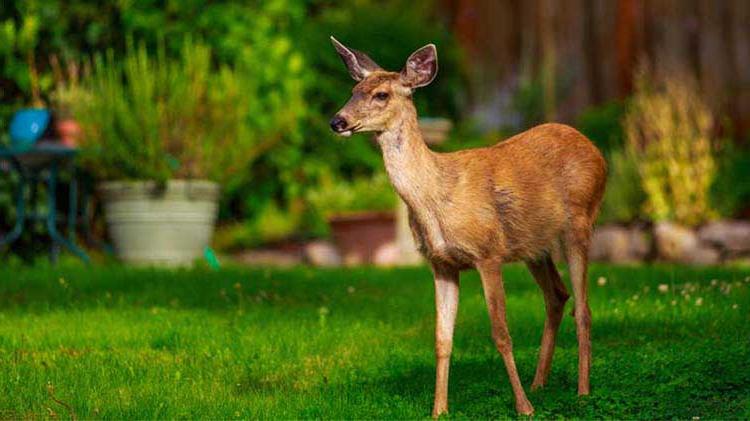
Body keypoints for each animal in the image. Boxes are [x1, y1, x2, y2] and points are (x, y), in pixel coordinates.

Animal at [328, 37, 604, 416]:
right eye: (353, 90)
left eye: (381, 94)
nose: (337, 121)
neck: (435, 197)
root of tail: (597, 151)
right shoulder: (441, 264)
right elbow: (442, 338)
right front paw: (439, 410)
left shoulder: (488, 253)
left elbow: (501, 333)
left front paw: (523, 408)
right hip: (533, 246)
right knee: (557, 296)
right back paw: (540, 383)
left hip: (580, 223)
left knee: (584, 308)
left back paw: (582, 391)